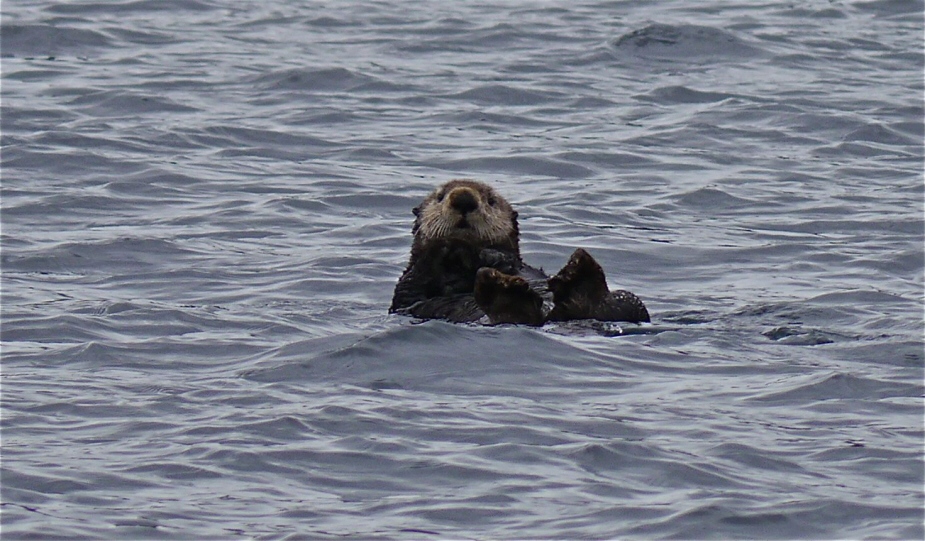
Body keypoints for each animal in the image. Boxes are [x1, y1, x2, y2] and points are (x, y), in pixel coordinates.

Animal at [389, 179, 649, 325]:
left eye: (491, 200)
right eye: (440, 196)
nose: (463, 198)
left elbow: (512, 261)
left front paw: (492, 257)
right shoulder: (406, 297)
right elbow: (412, 287)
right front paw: (446, 249)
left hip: (629, 302)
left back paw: (578, 271)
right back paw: (508, 291)